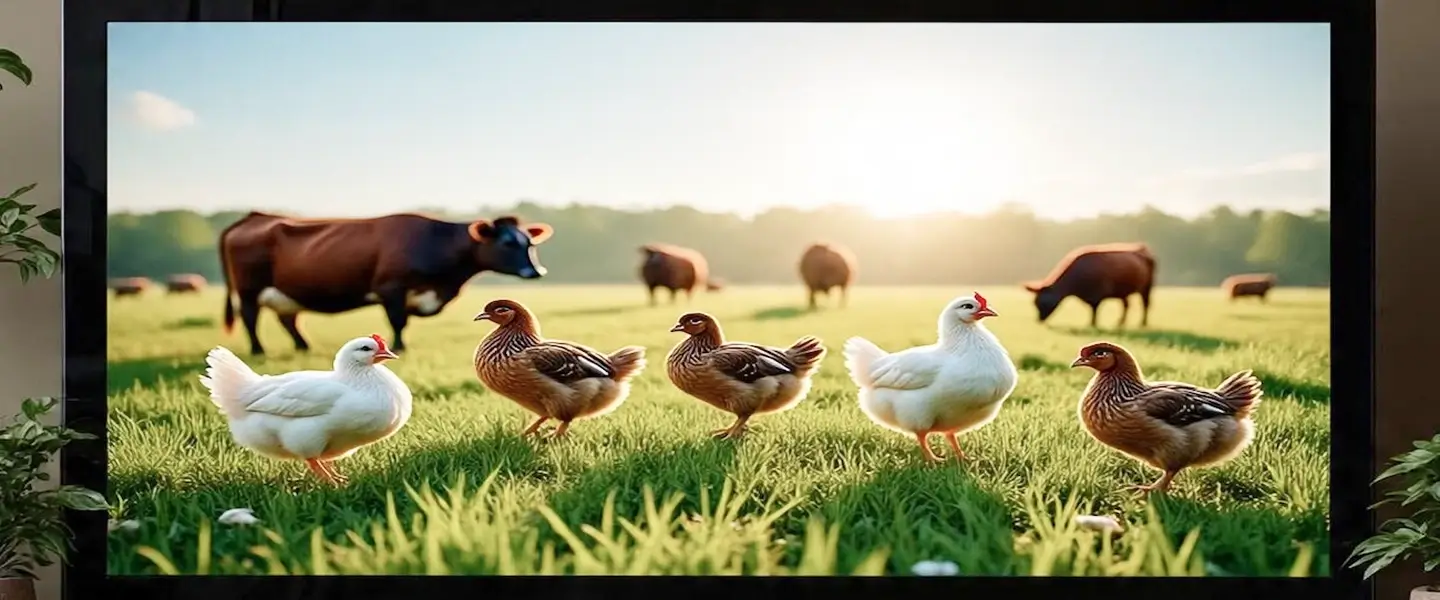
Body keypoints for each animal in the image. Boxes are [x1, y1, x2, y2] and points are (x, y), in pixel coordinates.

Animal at [219, 212, 553, 356]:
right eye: (508, 243)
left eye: (530, 243)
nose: (536, 271)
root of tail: (253, 217)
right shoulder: (391, 289)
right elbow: (398, 321)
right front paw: (399, 347)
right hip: (248, 290)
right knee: (249, 318)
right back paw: (258, 350)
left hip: (285, 294)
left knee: (288, 320)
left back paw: (303, 347)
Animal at [1023, 243, 1156, 328]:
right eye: (1034, 302)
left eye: (1044, 302)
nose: (1039, 320)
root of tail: (1141, 246)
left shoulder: (1096, 294)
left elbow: (1094, 309)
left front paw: (1092, 325)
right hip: (1123, 291)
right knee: (1126, 305)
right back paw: (1120, 324)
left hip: (1147, 286)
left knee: (1146, 304)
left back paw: (1143, 324)